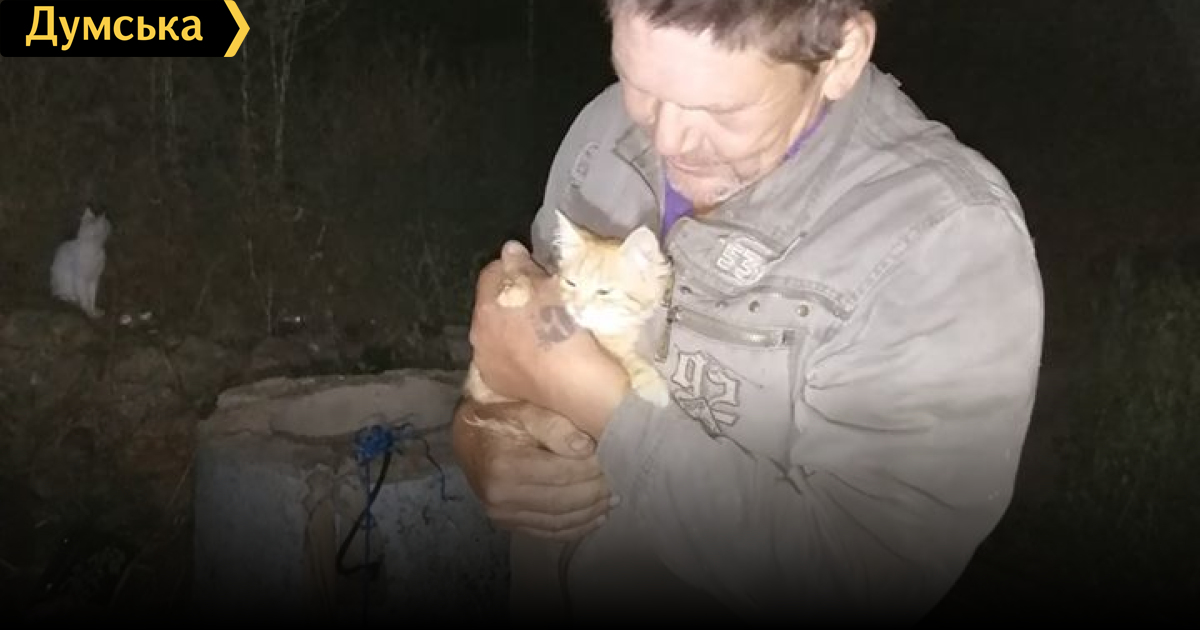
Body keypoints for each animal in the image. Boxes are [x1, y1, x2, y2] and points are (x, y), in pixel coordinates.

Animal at [462, 208, 673, 434]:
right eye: (571, 283)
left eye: (604, 292)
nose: (578, 308)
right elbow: (522, 278)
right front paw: (515, 293)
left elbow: (627, 357)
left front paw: (651, 382)